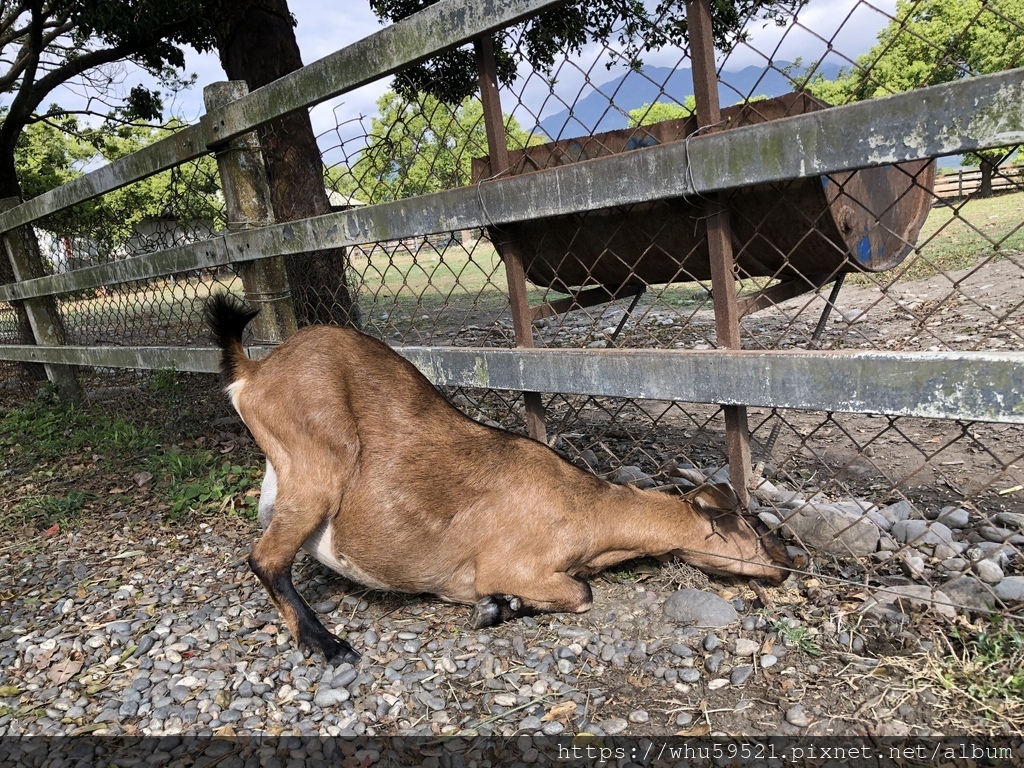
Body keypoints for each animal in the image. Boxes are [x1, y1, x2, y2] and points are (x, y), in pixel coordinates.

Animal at [203, 294, 786, 667]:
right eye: (755, 527)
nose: (785, 564)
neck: (587, 508)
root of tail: (254, 372)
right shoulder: (513, 563)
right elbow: (582, 593)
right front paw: (498, 606)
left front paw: (502, 607)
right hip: (318, 471)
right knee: (266, 558)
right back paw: (328, 646)